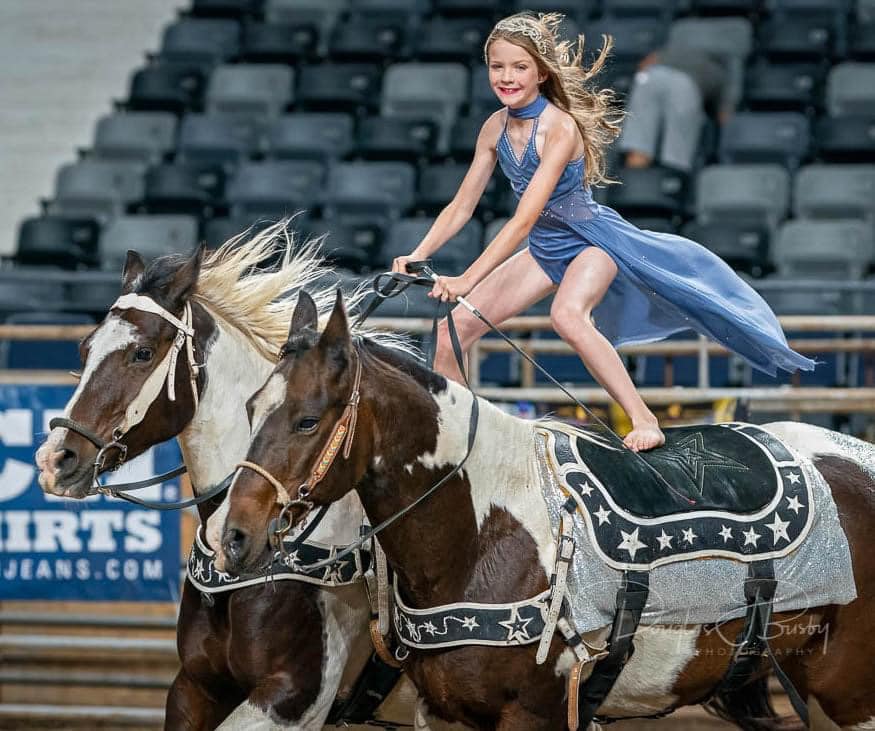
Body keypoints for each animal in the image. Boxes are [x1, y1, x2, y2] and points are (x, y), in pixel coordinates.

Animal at [212, 294, 875, 731]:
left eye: (308, 419)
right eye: (249, 407)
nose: (236, 536)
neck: (483, 534)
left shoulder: (533, 714)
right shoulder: (446, 713)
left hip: (851, 698)